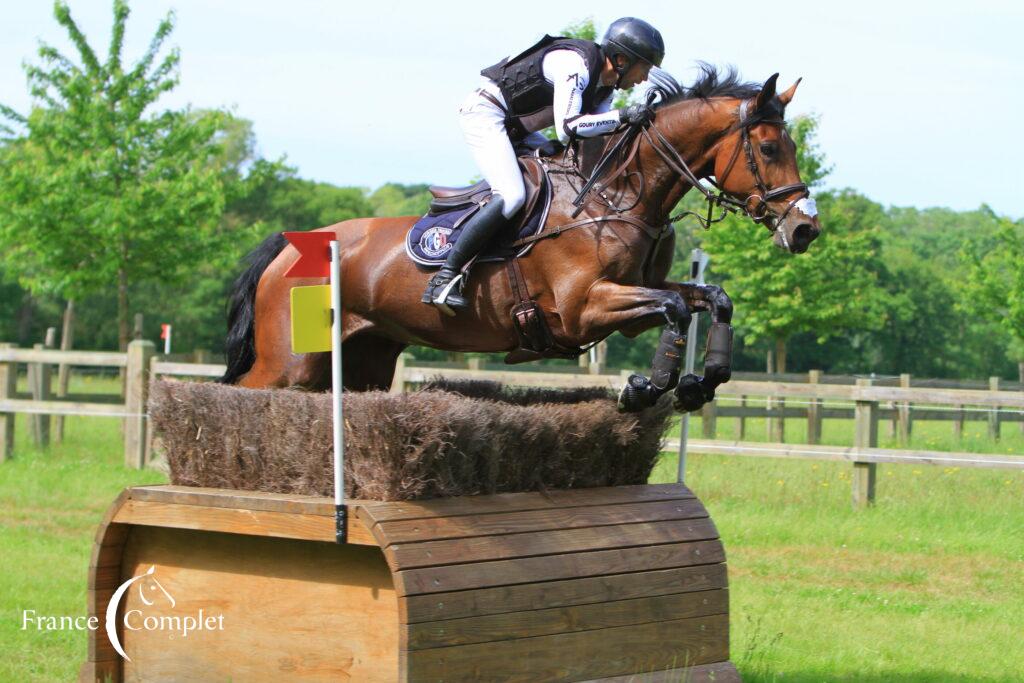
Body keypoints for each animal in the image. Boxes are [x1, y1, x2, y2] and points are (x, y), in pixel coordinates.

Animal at [220, 66, 819, 413]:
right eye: (769, 149)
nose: (805, 228)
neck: (615, 195)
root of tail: (288, 246)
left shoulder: (633, 298)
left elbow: (712, 299)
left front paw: (703, 381)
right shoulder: (584, 309)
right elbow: (674, 308)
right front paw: (644, 389)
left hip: (364, 357)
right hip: (290, 365)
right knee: (241, 392)